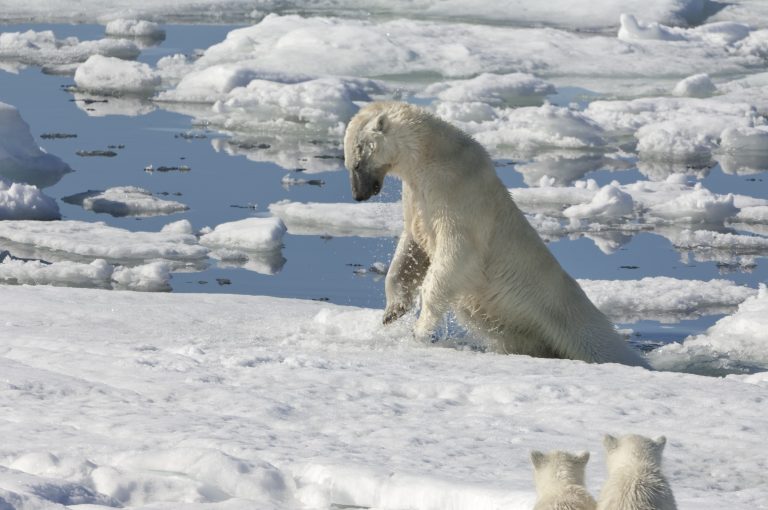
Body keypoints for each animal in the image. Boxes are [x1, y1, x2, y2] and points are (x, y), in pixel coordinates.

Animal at [344, 102, 652, 366]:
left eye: (356, 163)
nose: (359, 195)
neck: (432, 154)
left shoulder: (456, 191)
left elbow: (458, 254)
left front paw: (419, 330)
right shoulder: (418, 197)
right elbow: (413, 247)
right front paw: (392, 312)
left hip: (574, 326)